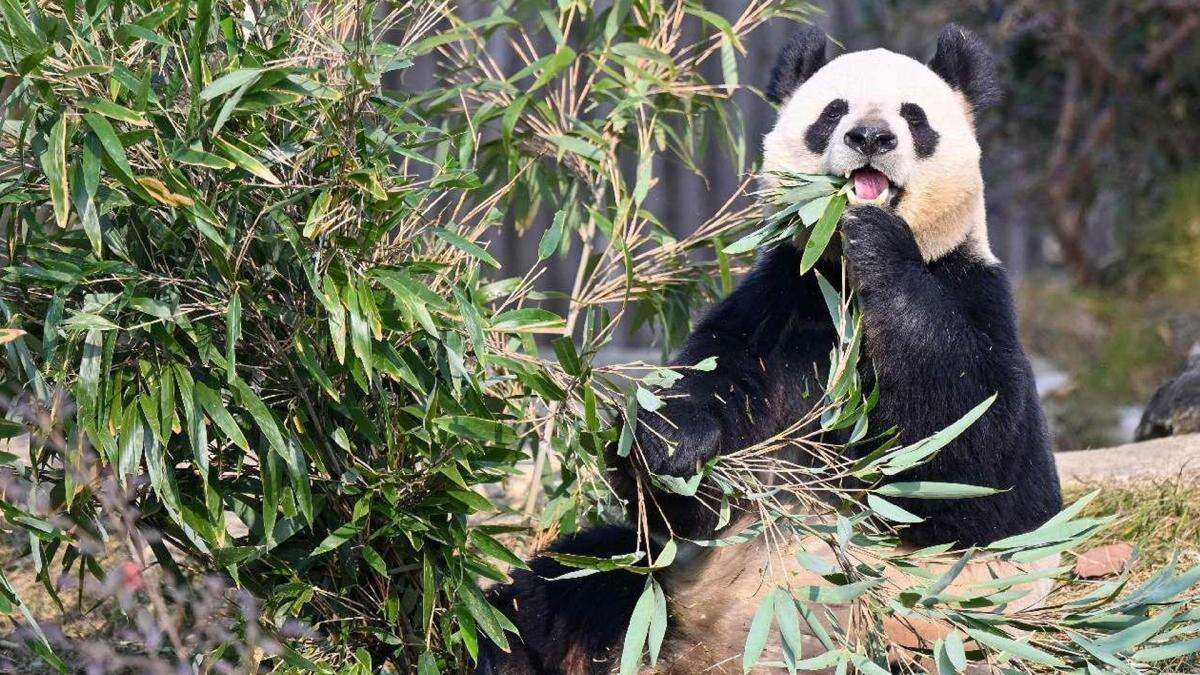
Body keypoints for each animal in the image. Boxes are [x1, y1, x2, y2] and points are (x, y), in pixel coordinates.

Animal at [475, 23, 1060, 667]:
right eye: (834, 113)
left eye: (914, 116)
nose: (871, 137)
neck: (842, 281)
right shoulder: (777, 304)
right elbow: (692, 453)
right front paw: (672, 447)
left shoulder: (975, 293)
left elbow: (979, 460)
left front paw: (879, 242)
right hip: (656, 590)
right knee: (555, 594)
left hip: (931, 635)